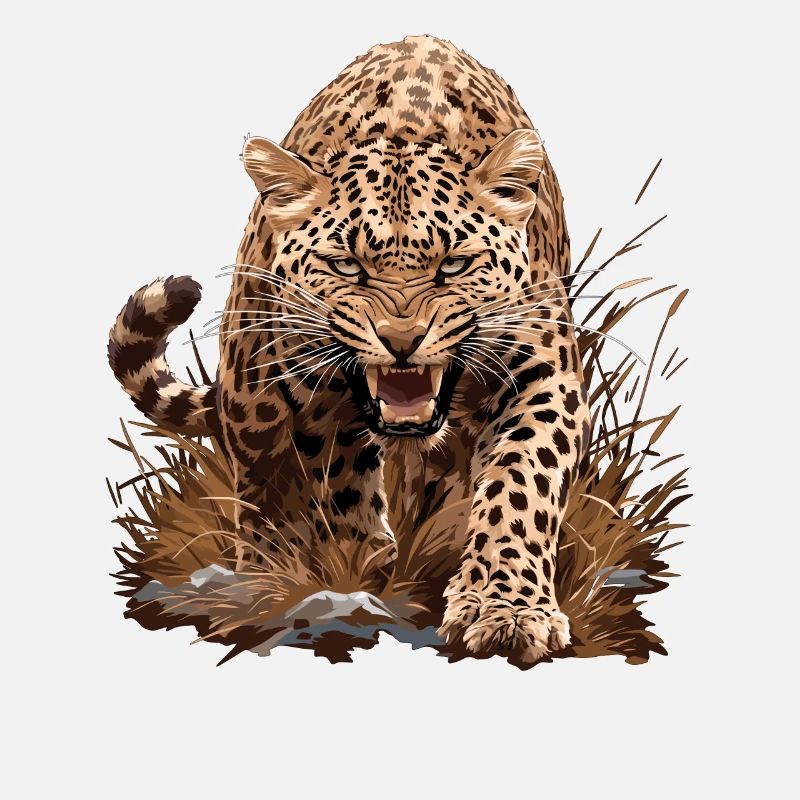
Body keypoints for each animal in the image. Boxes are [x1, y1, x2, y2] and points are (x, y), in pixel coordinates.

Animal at [108, 35, 590, 665]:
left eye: (455, 264)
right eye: (345, 265)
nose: (402, 340)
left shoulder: (540, 375)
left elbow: (519, 484)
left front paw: (505, 609)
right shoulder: (302, 399)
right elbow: (324, 487)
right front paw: (338, 575)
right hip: (250, 383)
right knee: (266, 481)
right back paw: (274, 571)